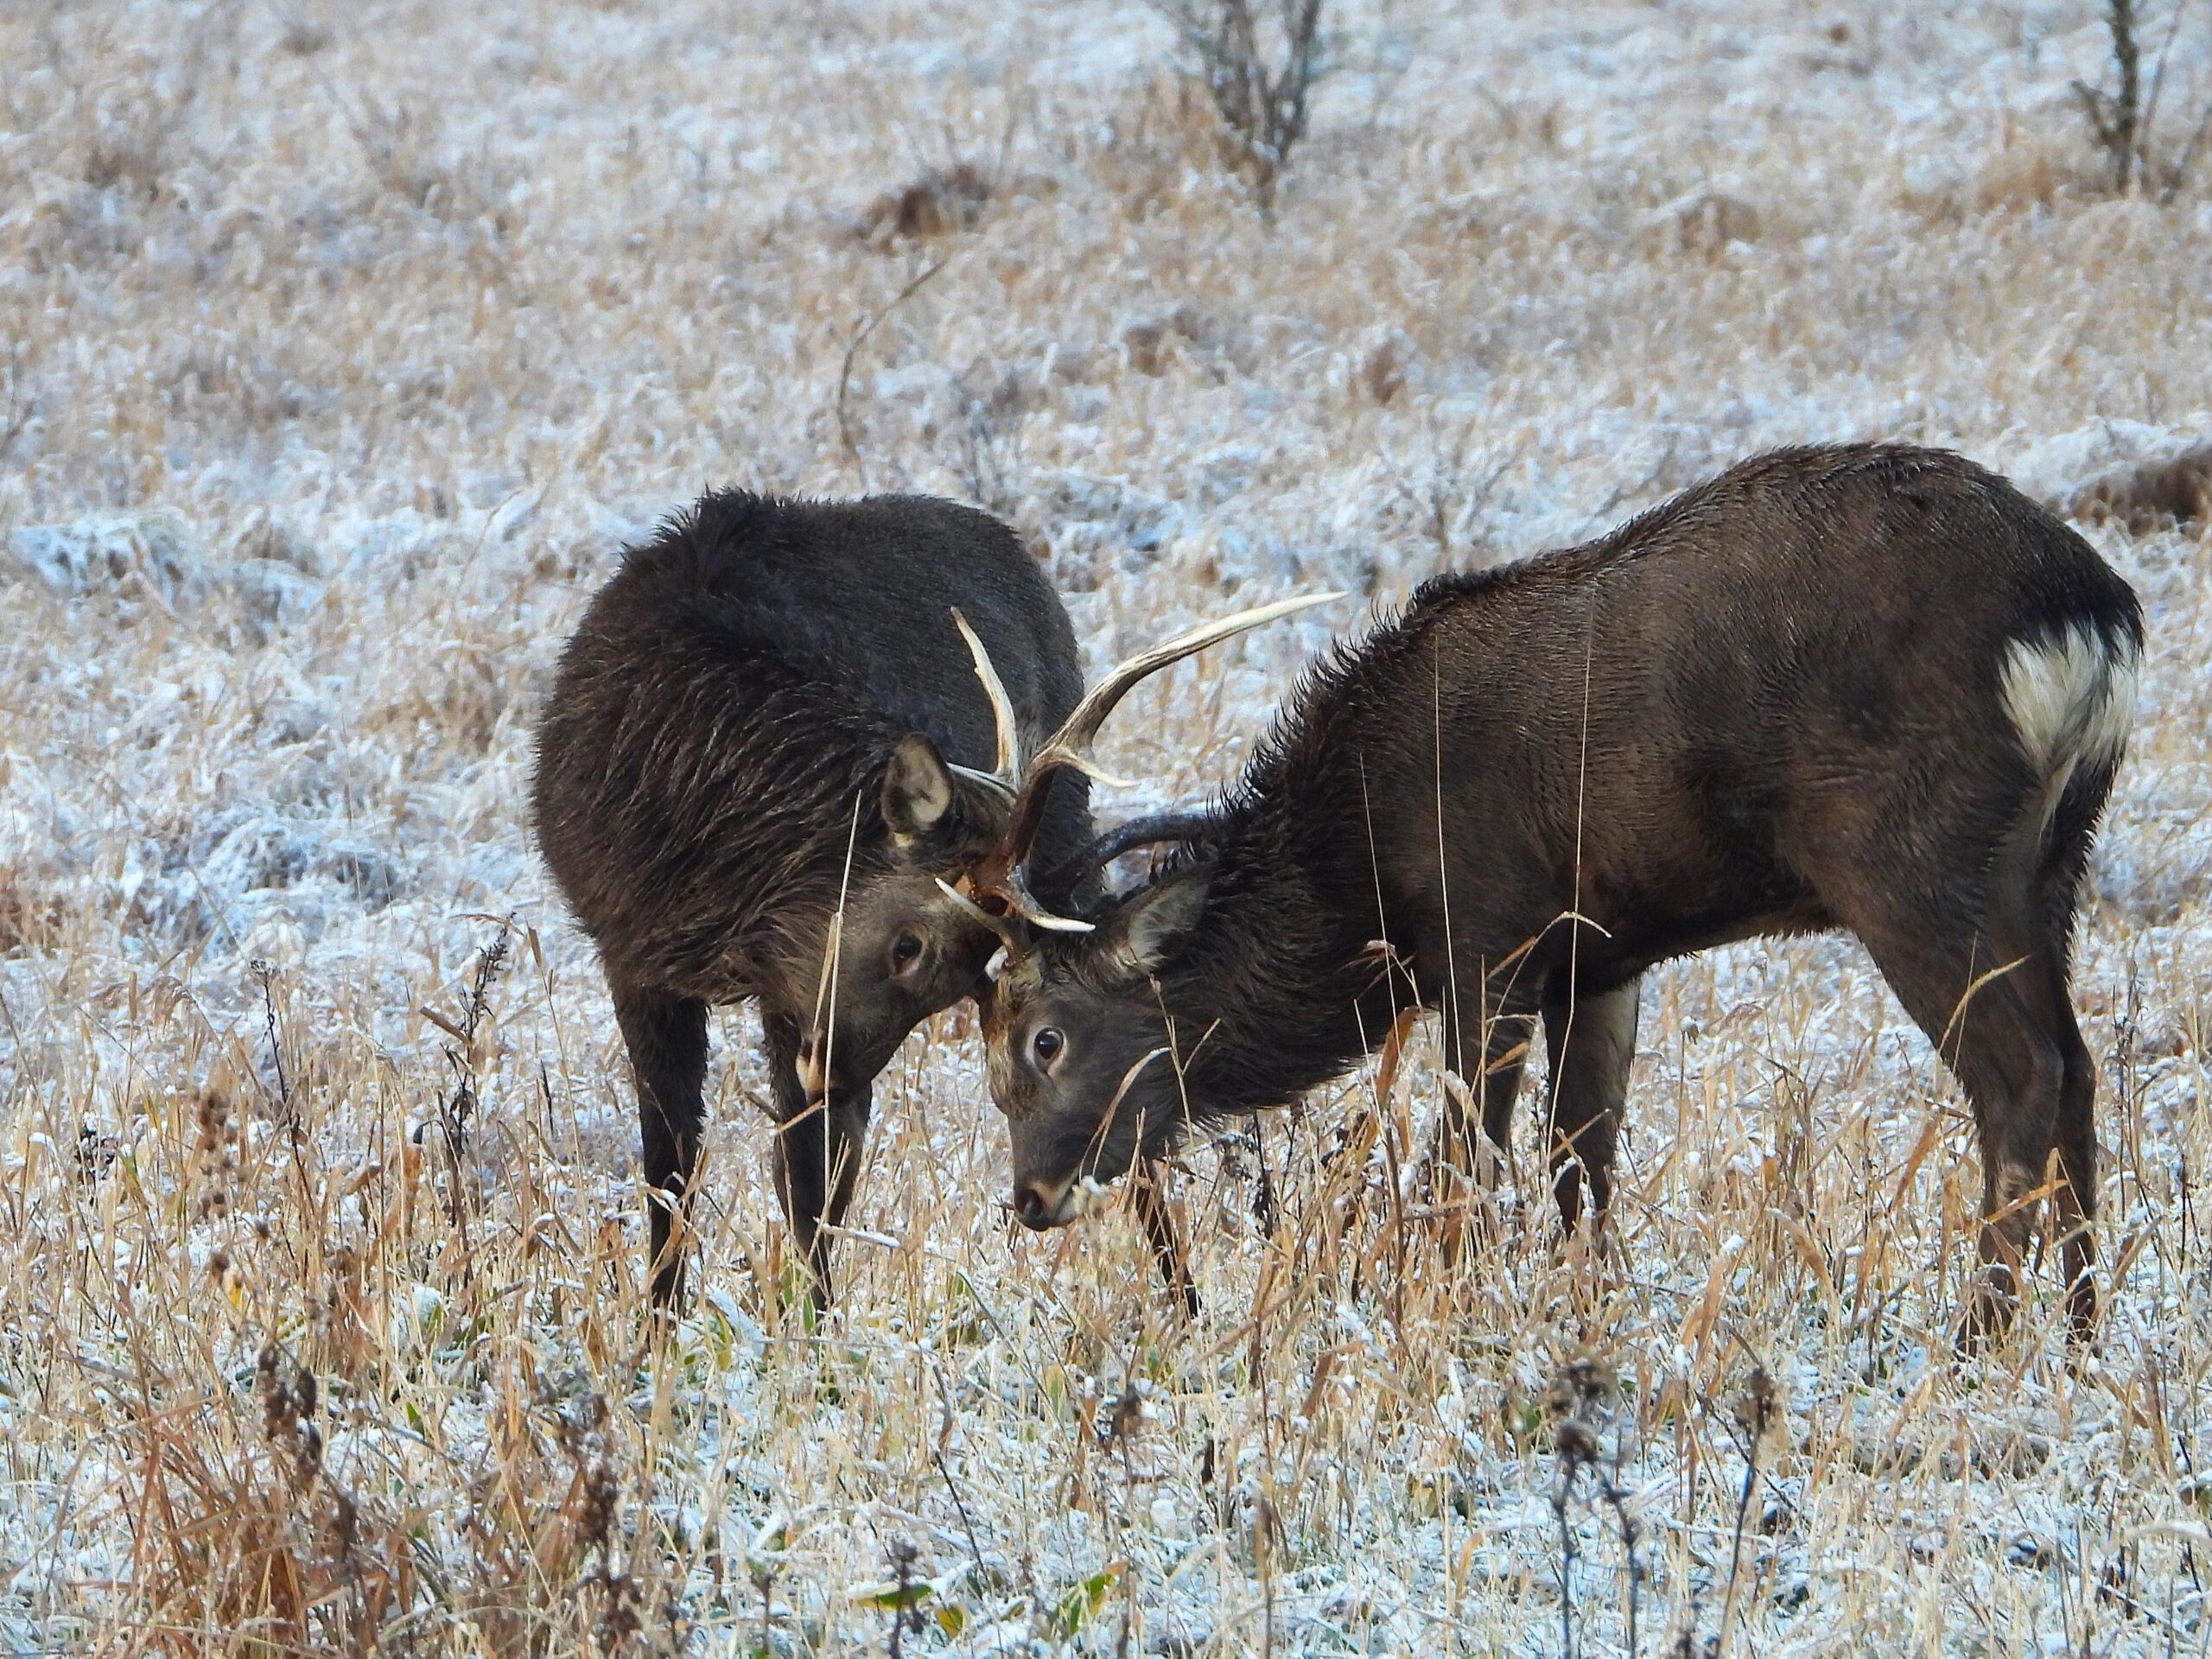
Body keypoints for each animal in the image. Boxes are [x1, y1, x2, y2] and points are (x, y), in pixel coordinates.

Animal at [958, 444, 2142, 1346]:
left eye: (1043, 1038)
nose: (1032, 1200)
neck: (1360, 862)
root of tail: (2091, 617)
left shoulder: (1487, 930)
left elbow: (1465, 1173)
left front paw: (1448, 1331)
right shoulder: (1603, 952)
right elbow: (1581, 1171)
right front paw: (1577, 1327)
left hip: (1907, 854)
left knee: (2021, 1071)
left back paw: (1978, 1345)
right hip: (2052, 859)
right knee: (2080, 1066)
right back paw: (2084, 1338)